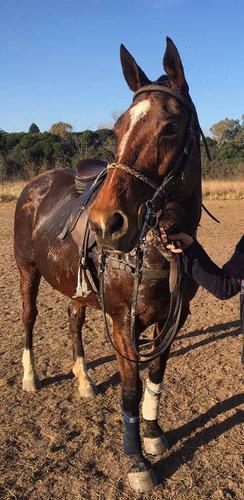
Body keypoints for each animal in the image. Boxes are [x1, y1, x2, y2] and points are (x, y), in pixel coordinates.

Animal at [14, 39, 202, 492]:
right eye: (118, 129)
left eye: (170, 127)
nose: (105, 224)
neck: (159, 249)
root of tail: (33, 186)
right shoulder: (122, 321)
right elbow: (131, 389)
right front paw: (137, 460)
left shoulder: (175, 317)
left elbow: (156, 372)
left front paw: (152, 433)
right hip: (27, 270)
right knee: (29, 317)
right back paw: (30, 377)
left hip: (75, 284)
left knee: (74, 319)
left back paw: (83, 379)